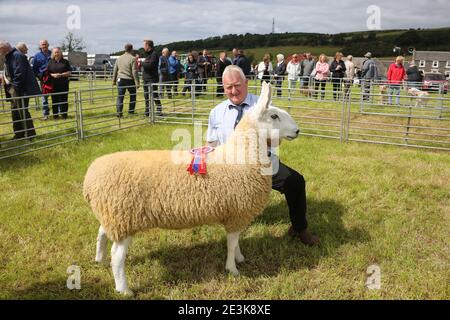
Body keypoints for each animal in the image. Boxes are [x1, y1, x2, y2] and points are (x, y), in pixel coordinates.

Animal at [84, 82, 298, 296]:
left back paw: (99, 259)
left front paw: (240, 258)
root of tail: (90, 176)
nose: (297, 131)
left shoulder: (235, 214)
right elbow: (231, 243)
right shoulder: (237, 212)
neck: (241, 156)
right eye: (274, 116)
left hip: (112, 215)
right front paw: (232, 269)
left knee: (101, 233)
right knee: (117, 256)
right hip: (124, 217)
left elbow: (236, 241)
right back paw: (124, 289)